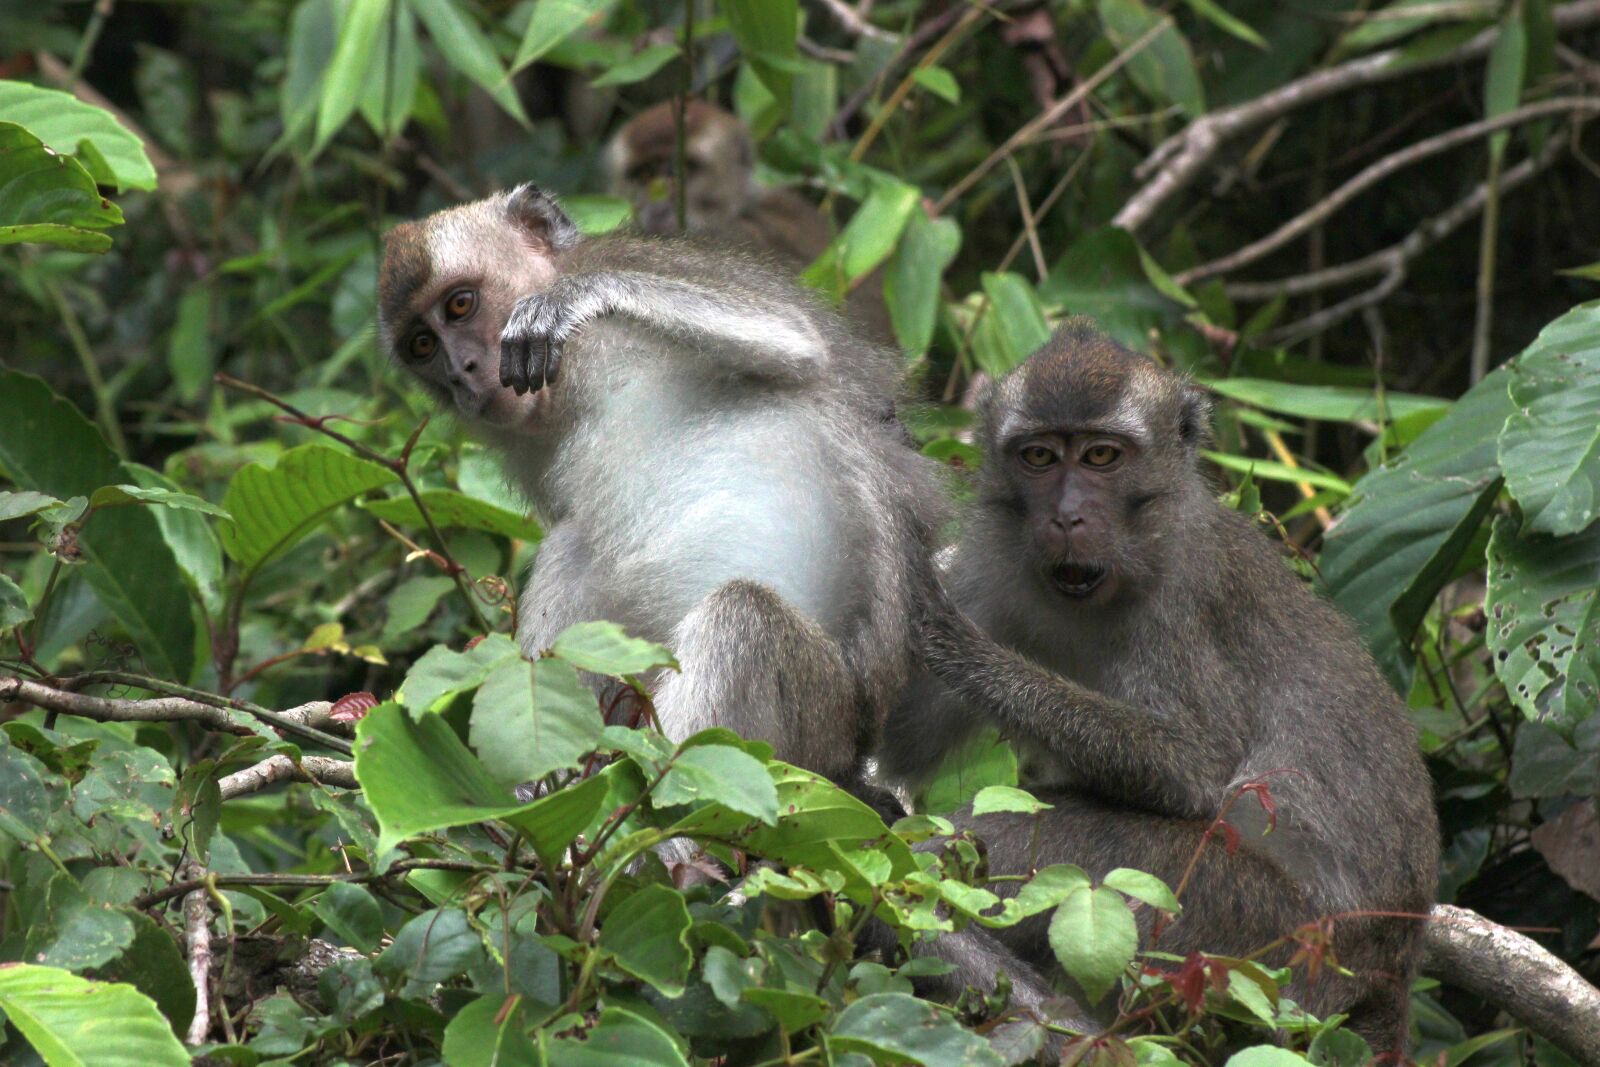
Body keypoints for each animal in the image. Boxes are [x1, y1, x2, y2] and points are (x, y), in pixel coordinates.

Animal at [377, 183, 941, 798]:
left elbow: (793, 341)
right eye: (423, 345)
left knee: (742, 614)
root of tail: (854, 749)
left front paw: (574, 297)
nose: (461, 373)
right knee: (574, 545)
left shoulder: (644, 267)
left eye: (460, 305)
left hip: (816, 721)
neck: (568, 380)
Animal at [879, 320, 1439, 1051]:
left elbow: (1195, 766)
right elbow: (899, 744)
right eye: (1038, 456)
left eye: (1100, 456)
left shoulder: (1185, 597)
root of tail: (1392, 965)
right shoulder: (985, 569)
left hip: (1259, 942)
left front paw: (954, 641)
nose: (1066, 516)